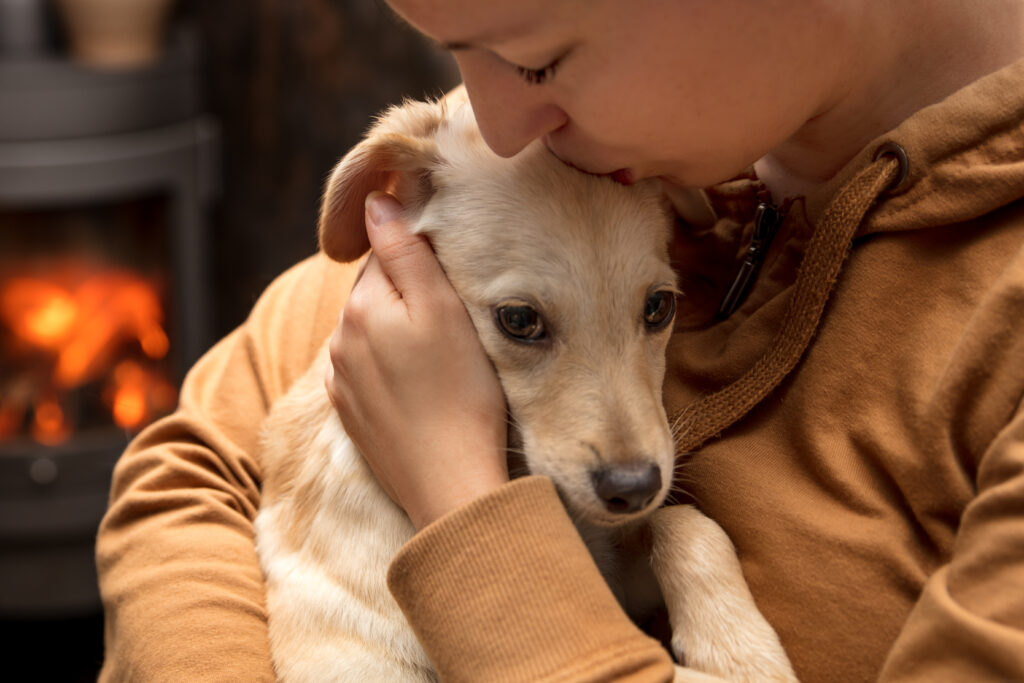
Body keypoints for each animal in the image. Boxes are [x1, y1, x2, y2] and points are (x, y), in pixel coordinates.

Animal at [251, 90, 794, 683]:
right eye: (518, 320)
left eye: (658, 307)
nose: (633, 488)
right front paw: (746, 655)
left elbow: (681, 522)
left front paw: (738, 644)